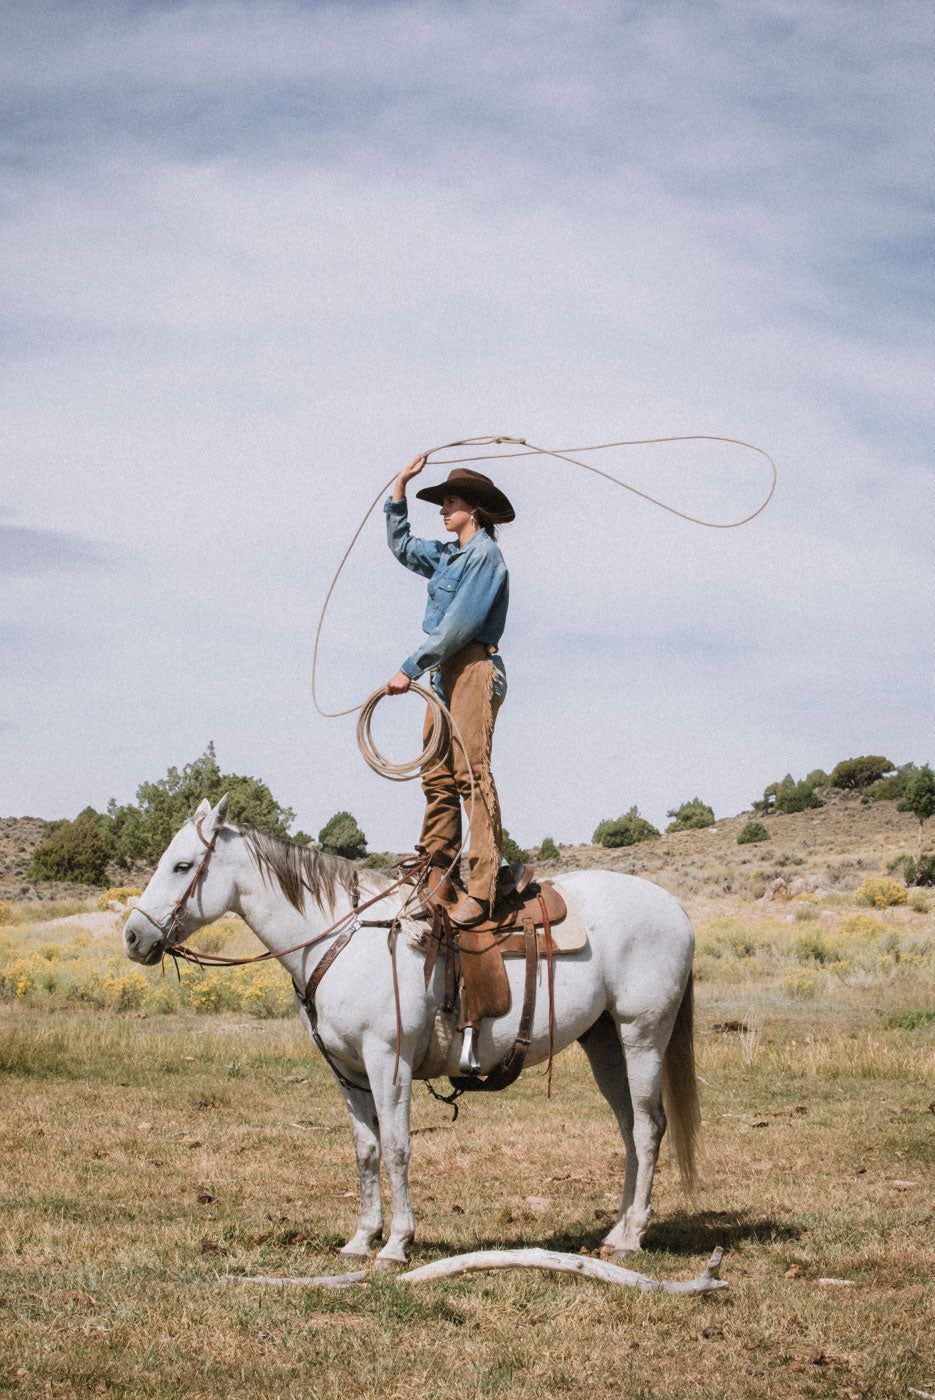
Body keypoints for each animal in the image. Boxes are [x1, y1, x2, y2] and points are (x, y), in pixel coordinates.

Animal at [123, 795, 697, 1265]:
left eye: (182, 865)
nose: (133, 937)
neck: (342, 937)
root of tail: (675, 906)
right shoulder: (348, 1071)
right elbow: (367, 1150)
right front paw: (362, 1238)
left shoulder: (388, 1061)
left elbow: (398, 1146)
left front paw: (397, 1243)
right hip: (604, 1041)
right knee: (629, 1127)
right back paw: (616, 1231)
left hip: (642, 1035)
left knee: (649, 1127)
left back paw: (633, 1236)